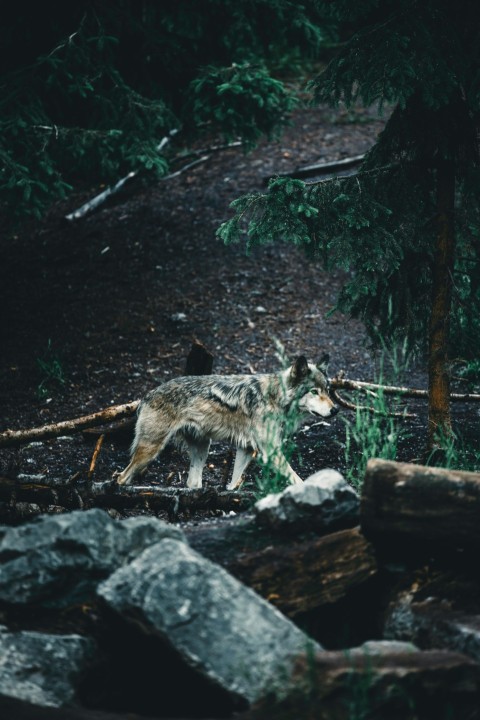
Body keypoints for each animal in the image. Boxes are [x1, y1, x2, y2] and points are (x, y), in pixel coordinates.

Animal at [114, 352, 338, 490]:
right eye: (314, 392)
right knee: (121, 477)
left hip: (202, 450)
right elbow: (297, 479)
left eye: (327, 390)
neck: (275, 397)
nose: (335, 409)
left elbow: (233, 483)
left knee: (192, 484)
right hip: (151, 450)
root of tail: (146, 396)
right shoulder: (270, 452)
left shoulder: (246, 449)